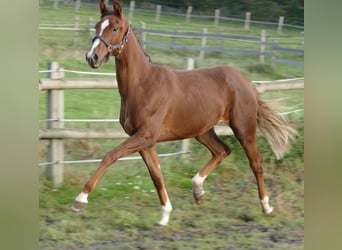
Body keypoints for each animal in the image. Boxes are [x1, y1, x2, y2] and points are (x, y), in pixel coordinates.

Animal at [71, 0, 296, 227]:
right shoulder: (145, 141)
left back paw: (266, 207)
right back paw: (198, 191)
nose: (92, 57)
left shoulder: (145, 136)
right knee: (222, 151)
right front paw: (165, 215)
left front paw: (80, 200)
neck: (143, 84)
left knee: (255, 162)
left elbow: (110, 156)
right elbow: (156, 175)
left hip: (244, 128)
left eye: (115, 28)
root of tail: (248, 83)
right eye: (97, 26)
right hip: (203, 130)